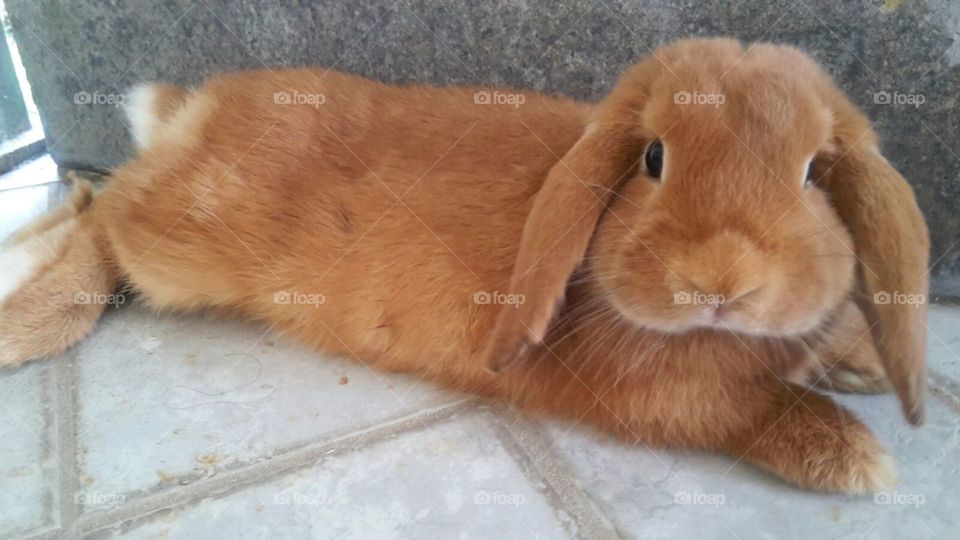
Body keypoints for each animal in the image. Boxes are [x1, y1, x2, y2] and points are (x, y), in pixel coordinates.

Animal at [0, 38, 929, 493]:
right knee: (102, 213)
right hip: (182, 242)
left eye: (813, 174)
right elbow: (737, 407)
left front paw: (855, 362)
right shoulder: (659, 391)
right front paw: (857, 458)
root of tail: (193, 110)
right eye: (654, 158)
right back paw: (27, 323)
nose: (720, 282)